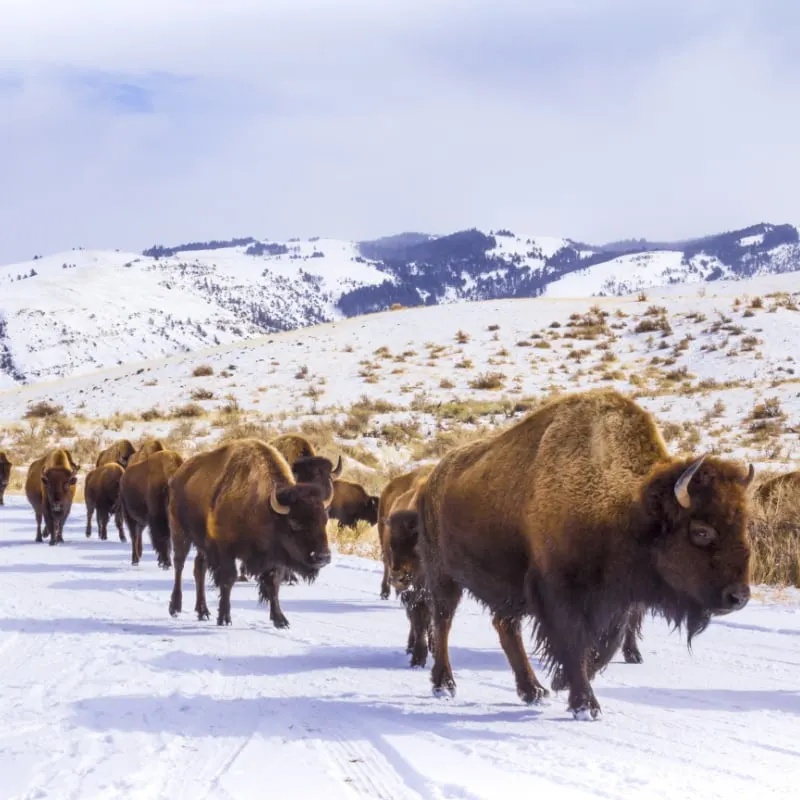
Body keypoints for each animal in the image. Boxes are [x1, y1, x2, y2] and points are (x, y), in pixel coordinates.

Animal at [167, 440, 332, 628]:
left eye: (324, 521)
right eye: (294, 522)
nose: (322, 557)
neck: (264, 507)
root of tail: (178, 475)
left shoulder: (274, 559)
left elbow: (273, 583)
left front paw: (280, 620)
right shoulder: (225, 551)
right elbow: (228, 580)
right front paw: (225, 618)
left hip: (202, 543)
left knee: (199, 568)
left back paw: (203, 612)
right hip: (180, 532)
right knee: (179, 564)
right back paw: (175, 608)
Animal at [416, 388, 752, 720]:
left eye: (745, 525)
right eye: (701, 531)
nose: (738, 597)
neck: (626, 508)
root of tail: (431, 480)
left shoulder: (615, 603)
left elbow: (604, 647)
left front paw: (563, 683)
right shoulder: (560, 594)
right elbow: (574, 644)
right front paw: (585, 705)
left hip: (506, 589)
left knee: (504, 626)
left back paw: (532, 690)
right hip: (442, 575)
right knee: (443, 622)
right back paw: (444, 685)